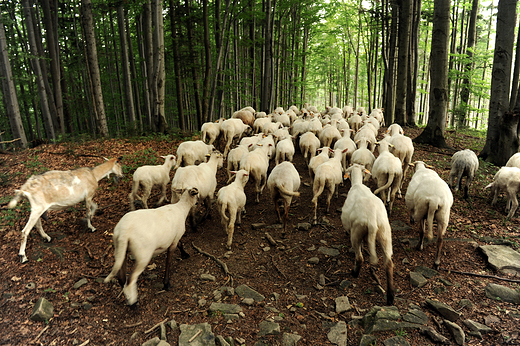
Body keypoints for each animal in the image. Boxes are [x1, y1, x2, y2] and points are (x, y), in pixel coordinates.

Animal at [342, 165, 394, 306]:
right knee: (389, 264)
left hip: (357, 231)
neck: (357, 184)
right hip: (385, 233)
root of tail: (372, 219)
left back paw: (354, 273)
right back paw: (390, 297)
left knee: (359, 258)